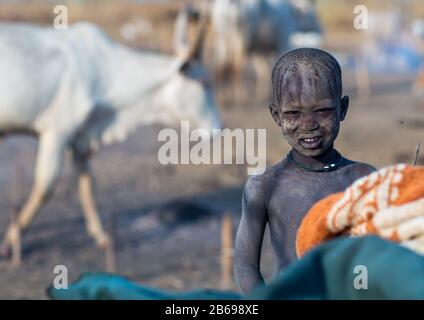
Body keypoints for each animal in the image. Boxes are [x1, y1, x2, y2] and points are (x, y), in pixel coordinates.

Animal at [0, 14, 222, 255]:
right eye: (204, 83)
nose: (218, 127)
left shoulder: (81, 141)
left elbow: (87, 186)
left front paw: (102, 237)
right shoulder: (56, 134)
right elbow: (45, 188)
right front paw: (10, 242)